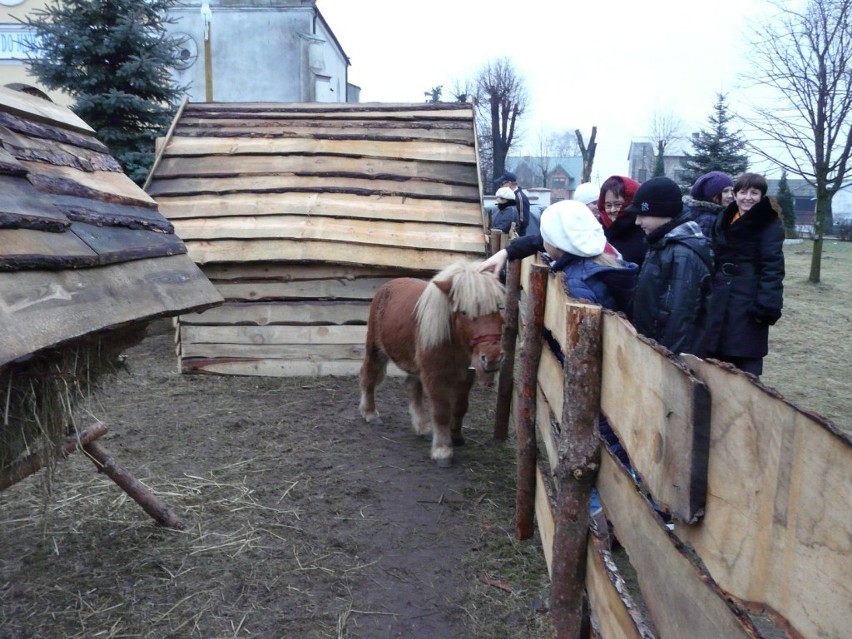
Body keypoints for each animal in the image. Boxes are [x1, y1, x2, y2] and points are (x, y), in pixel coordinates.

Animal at [358, 262, 506, 468]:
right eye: (464, 312)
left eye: (498, 307)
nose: (492, 358)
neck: (453, 340)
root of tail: (389, 285)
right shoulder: (434, 377)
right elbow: (441, 412)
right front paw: (442, 451)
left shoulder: (466, 377)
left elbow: (460, 407)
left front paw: (456, 437)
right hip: (376, 350)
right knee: (369, 377)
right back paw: (370, 413)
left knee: (411, 387)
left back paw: (422, 426)